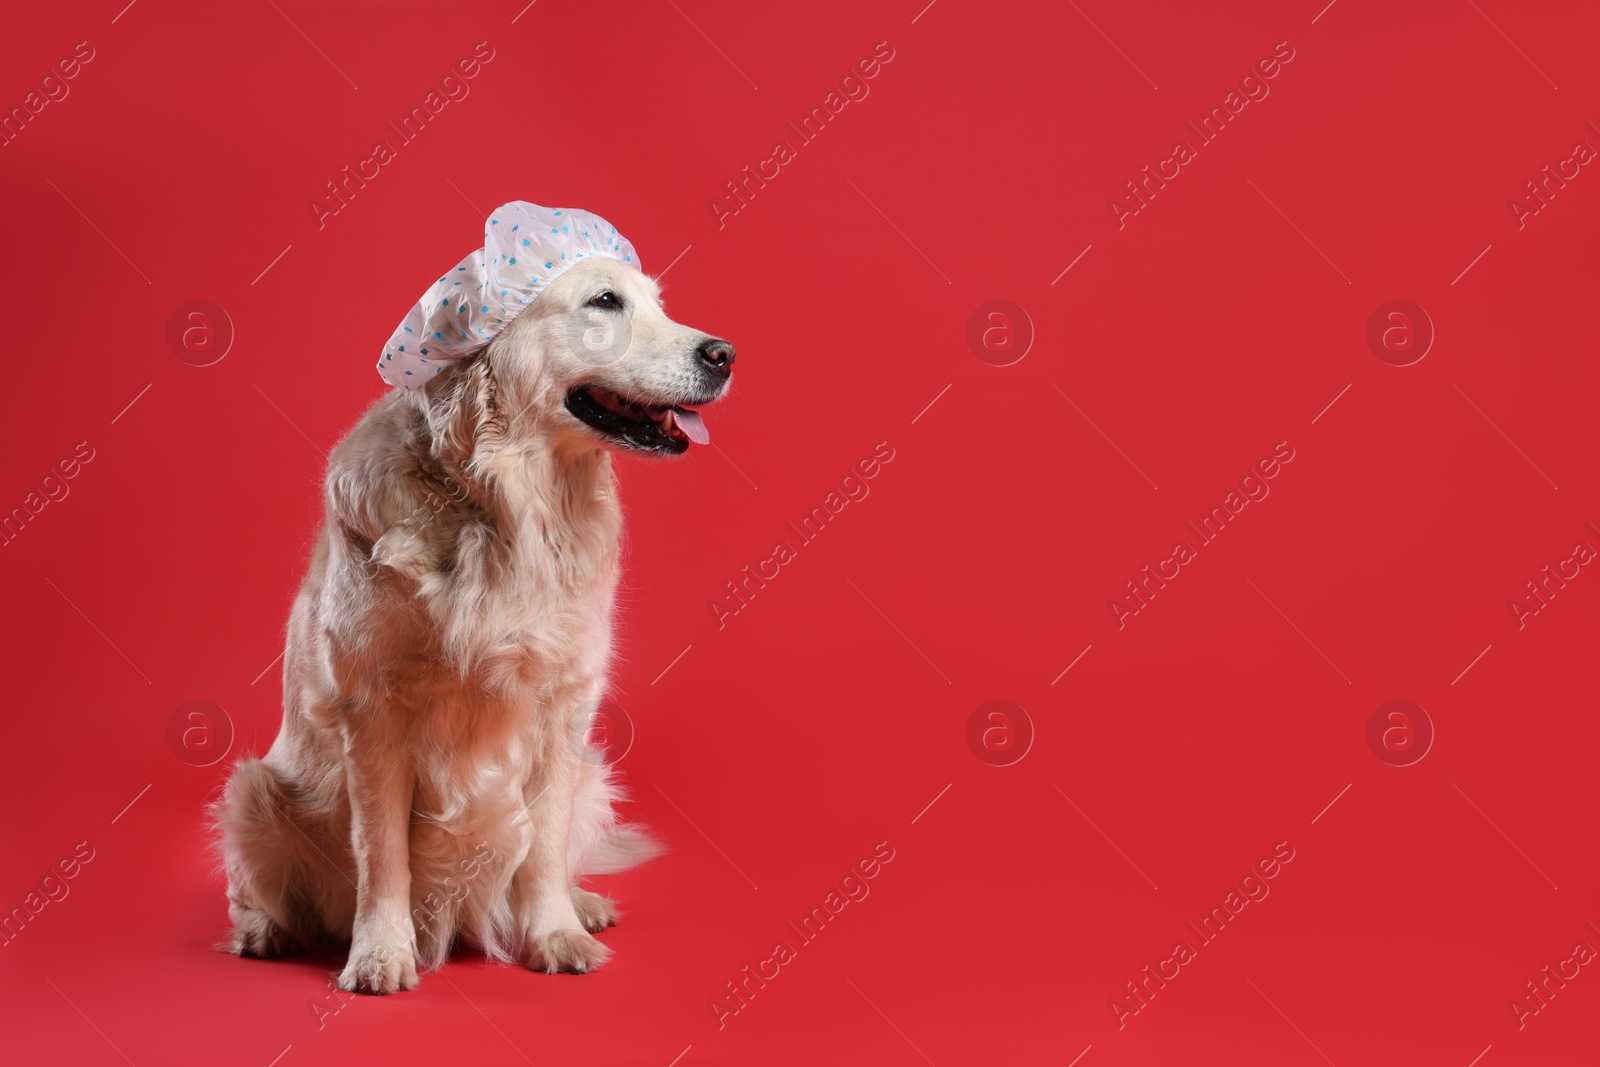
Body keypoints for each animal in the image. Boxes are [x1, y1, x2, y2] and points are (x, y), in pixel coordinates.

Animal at [214, 252, 736, 991]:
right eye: (605, 301)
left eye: (658, 303)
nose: (725, 354)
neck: (511, 507)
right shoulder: (373, 715)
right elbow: (383, 853)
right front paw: (381, 952)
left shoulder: (561, 709)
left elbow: (543, 847)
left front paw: (555, 933)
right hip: (256, 789)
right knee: (253, 885)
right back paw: (263, 930)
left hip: (590, 771)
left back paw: (584, 902)